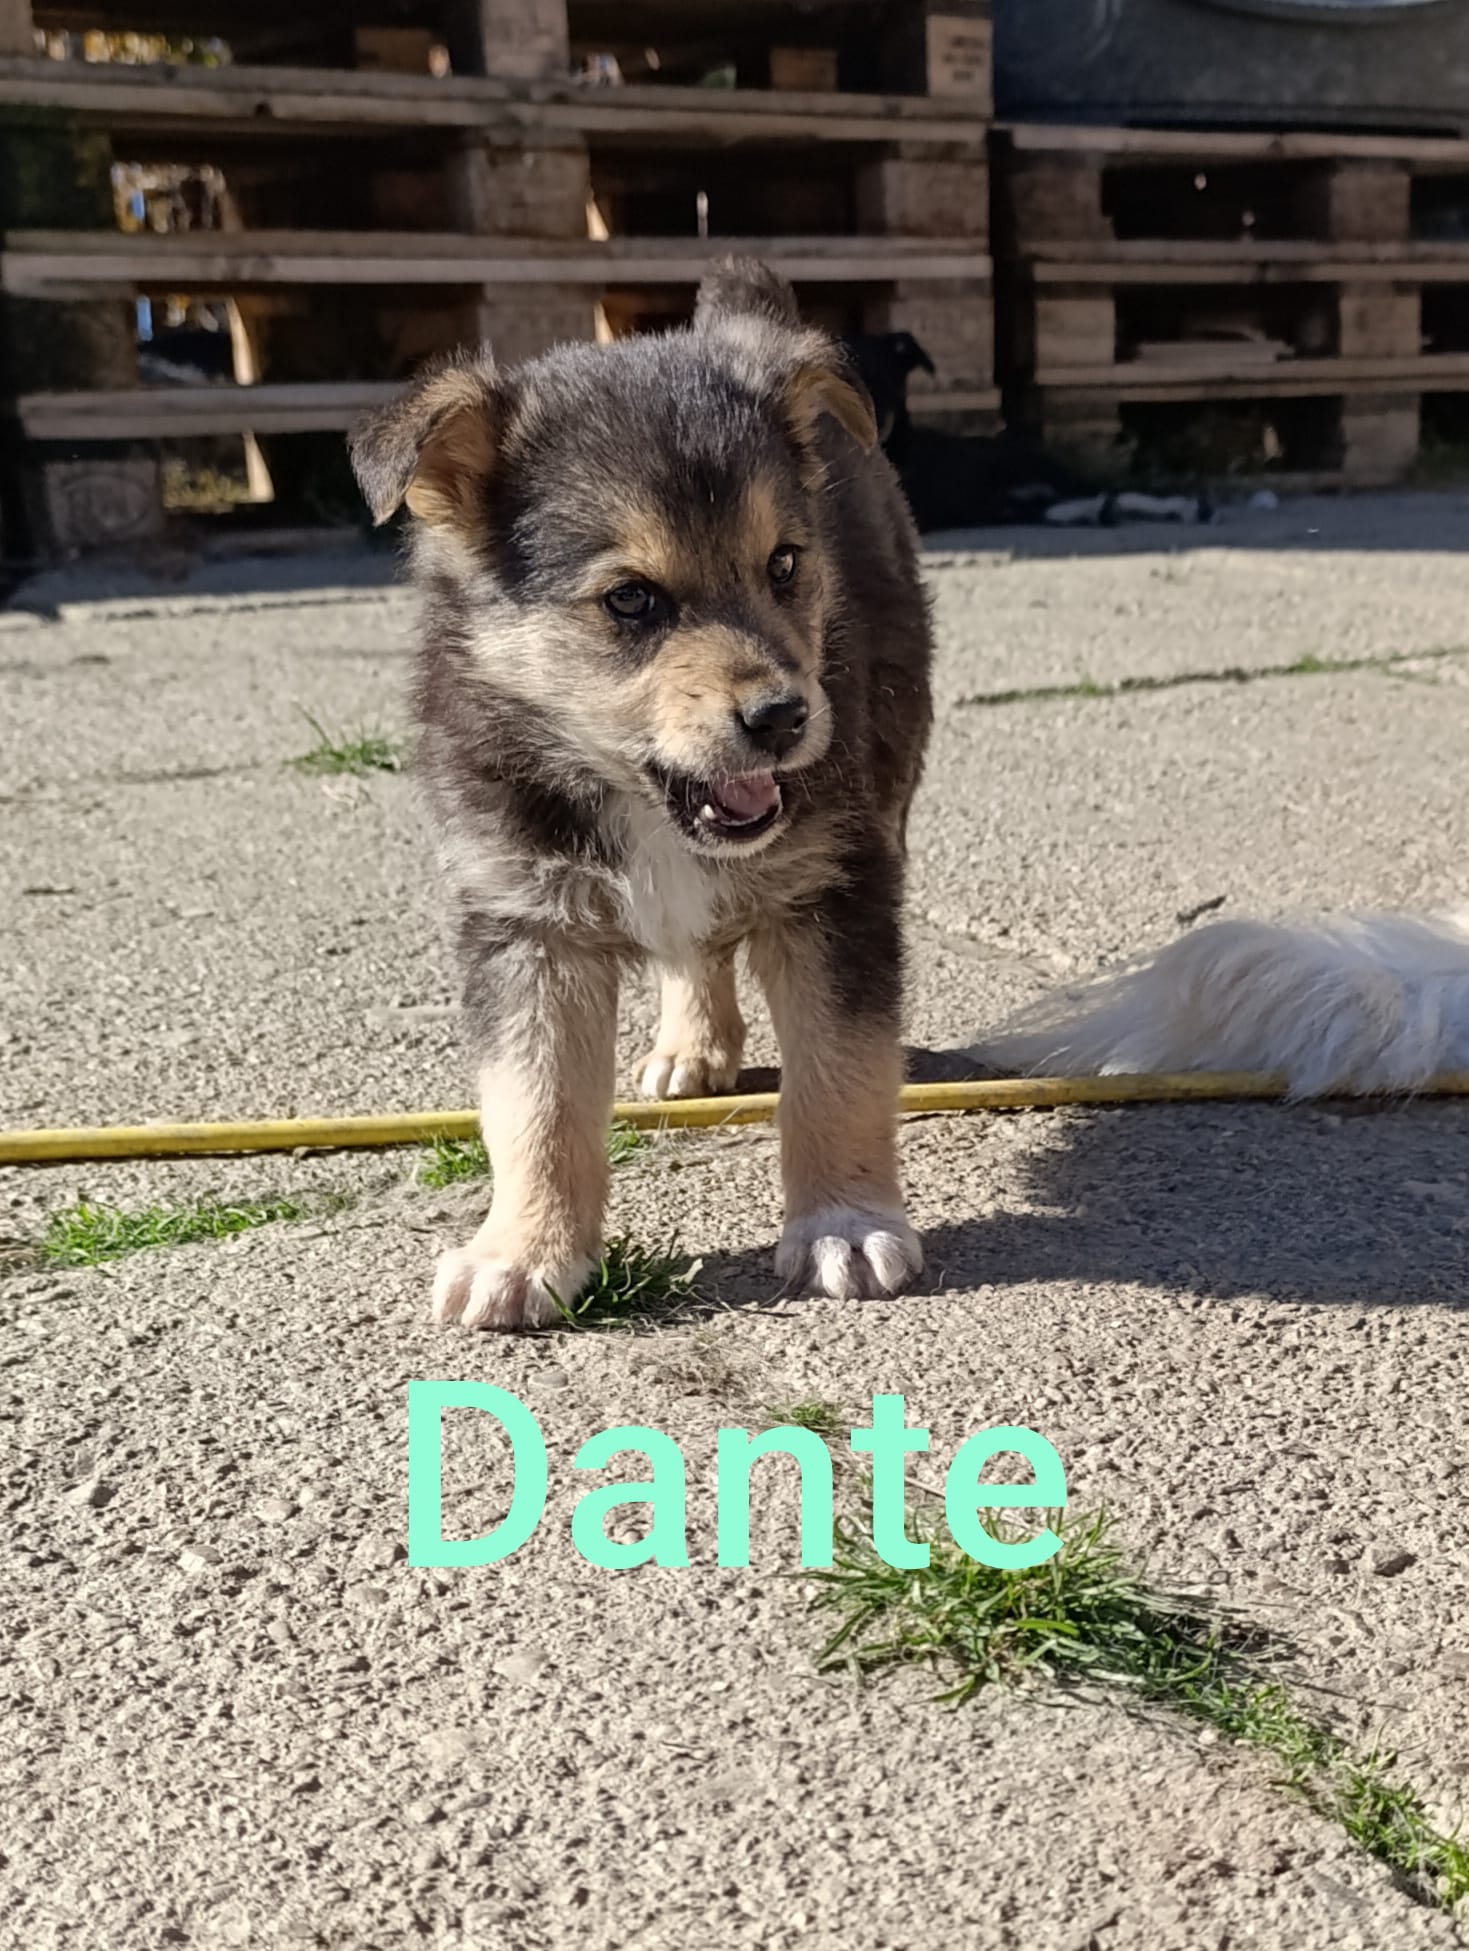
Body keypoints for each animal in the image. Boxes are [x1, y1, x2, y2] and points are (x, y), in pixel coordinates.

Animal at [350, 259, 933, 1331]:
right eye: (630, 599)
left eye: (785, 563)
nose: (784, 716)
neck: (631, 799)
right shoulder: (522, 921)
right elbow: (532, 1104)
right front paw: (522, 1253)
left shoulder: (836, 887)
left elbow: (837, 1071)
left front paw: (843, 1223)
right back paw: (689, 1047)